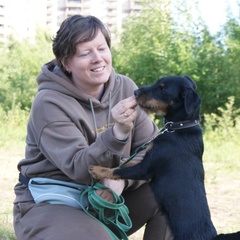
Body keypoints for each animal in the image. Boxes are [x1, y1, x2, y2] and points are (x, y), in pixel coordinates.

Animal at [89, 76, 240, 239]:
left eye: (163, 89)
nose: (136, 92)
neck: (178, 128)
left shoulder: (145, 169)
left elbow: (118, 171)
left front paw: (97, 170)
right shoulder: (146, 160)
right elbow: (125, 165)